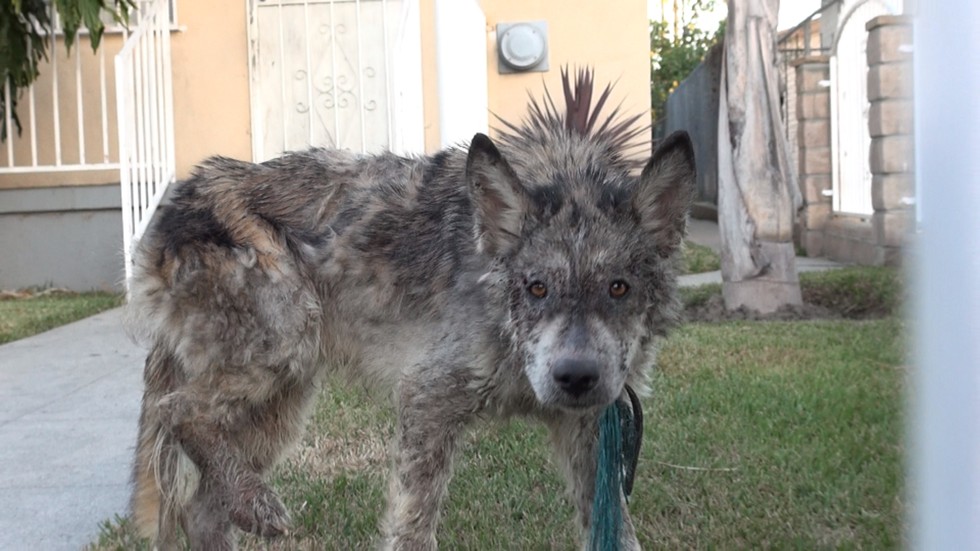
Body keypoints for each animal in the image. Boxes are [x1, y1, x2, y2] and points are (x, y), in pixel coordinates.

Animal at [125, 68, 695, 550]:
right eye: (536, 288)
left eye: (618, 288)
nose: (575, 376)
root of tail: (174, 202)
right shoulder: (427, 402)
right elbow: (412, 528)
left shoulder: (590, 429)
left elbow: (619, 533)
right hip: (285, 347)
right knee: (175, 410)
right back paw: (257, 503)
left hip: (284, 402)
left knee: (200, 505)